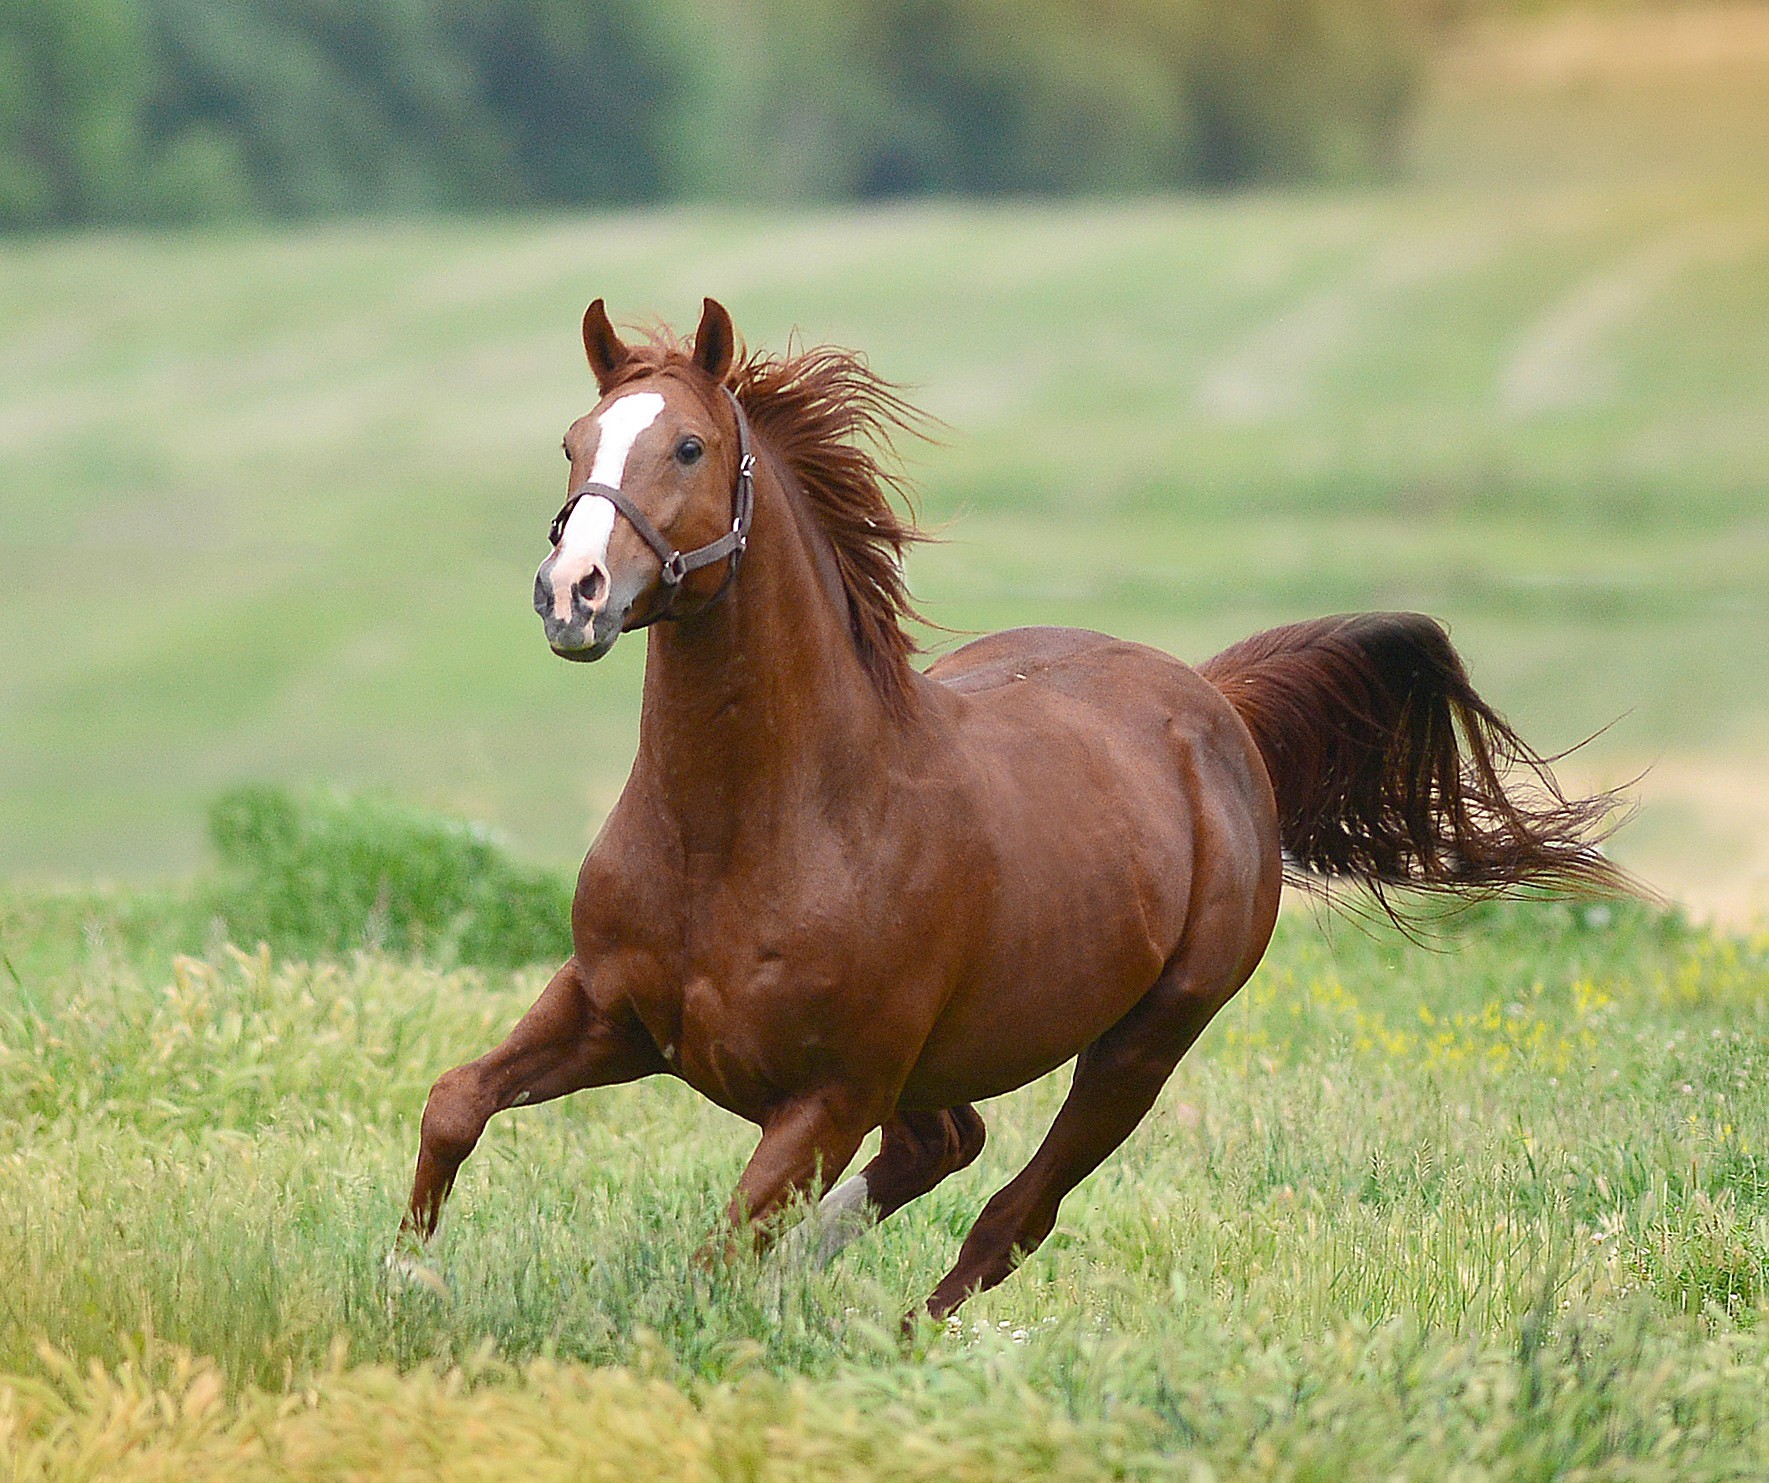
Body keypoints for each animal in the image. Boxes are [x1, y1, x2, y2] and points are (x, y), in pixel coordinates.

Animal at [401, 302, 1627, 1323]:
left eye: (688, 448)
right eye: (573, 442)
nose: (571, 594)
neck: (749, 829)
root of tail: (1212, 703)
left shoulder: (829, 1094)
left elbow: (722, 1245)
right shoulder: (608, 1011)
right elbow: (455, 1102)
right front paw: (406, 1277)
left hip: (1141, 1045)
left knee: (1009, 1215)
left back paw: (898, 1338)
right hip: (945, 1067)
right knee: (946, 1146)